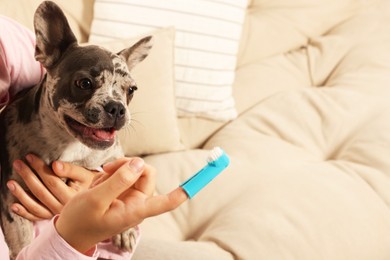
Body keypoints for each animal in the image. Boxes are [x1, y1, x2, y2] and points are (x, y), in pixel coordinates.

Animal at [0, 1, 152, 258]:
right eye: (84, 83)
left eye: (131, 90)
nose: (117, 107)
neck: (69, 143)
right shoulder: (12, 202)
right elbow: (23, 242)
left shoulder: (115, 156)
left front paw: (125, 230)